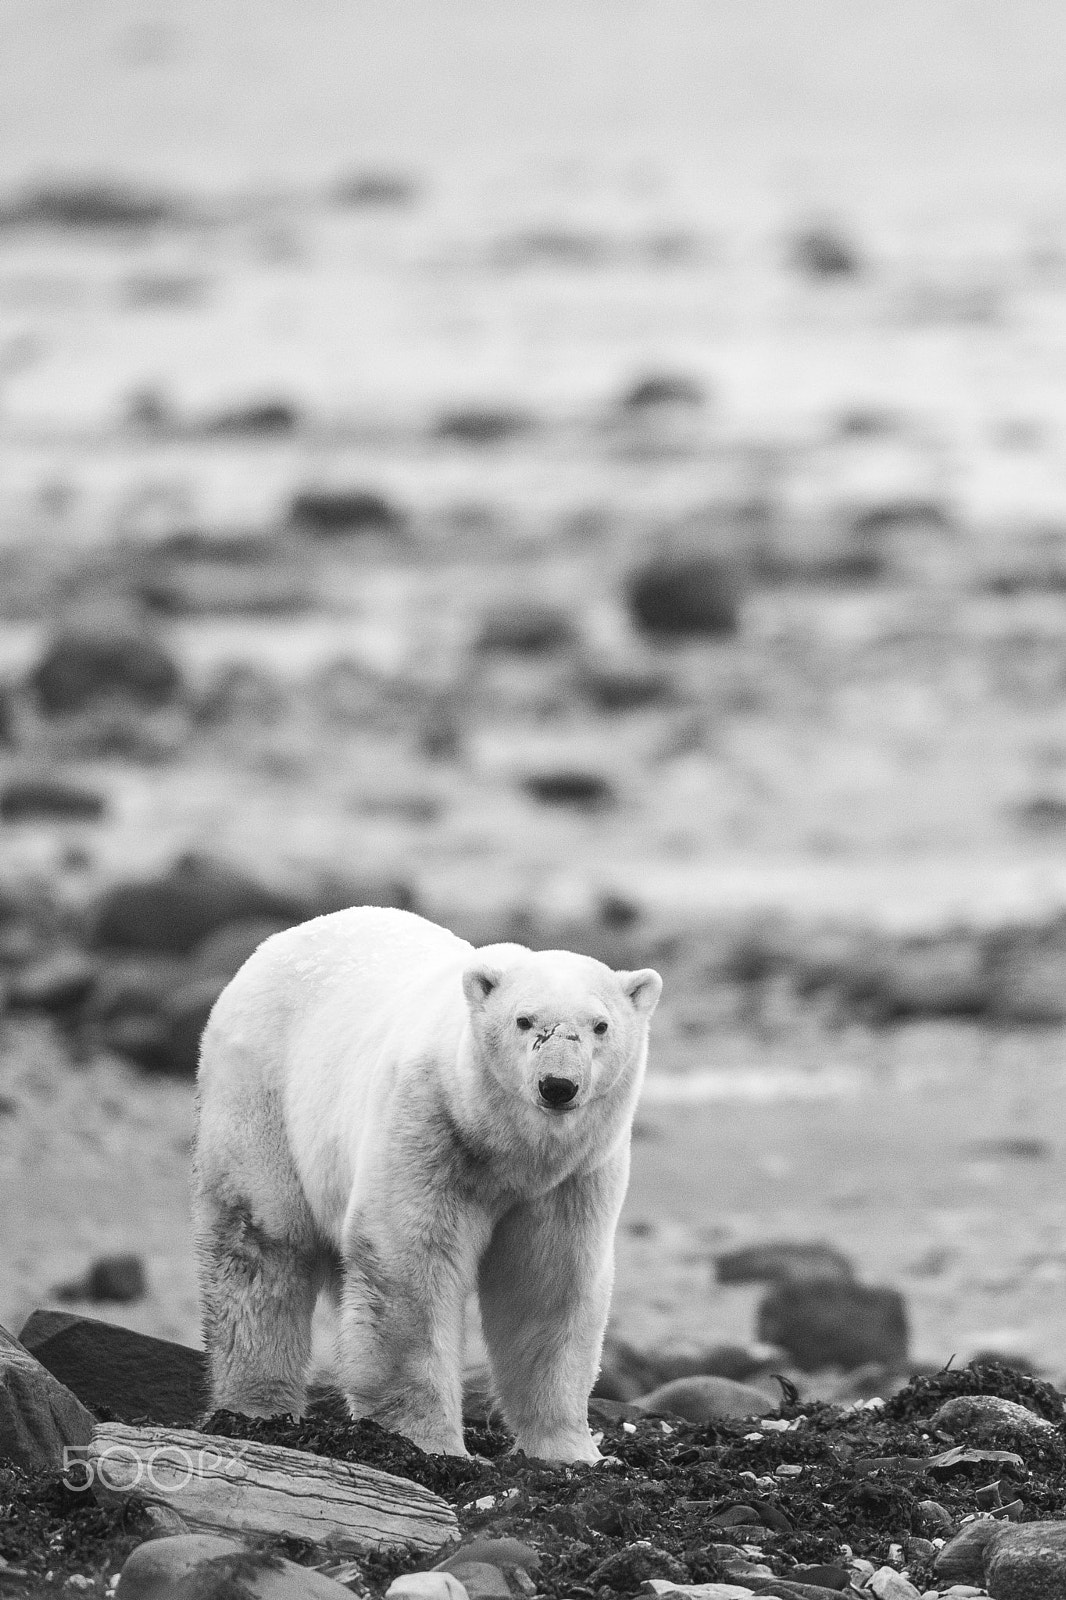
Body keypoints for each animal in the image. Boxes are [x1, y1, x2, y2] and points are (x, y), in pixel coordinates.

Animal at [191, 908, 656, 1459]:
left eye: (600, 1026)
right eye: (523, 1020)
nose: (558, 1086)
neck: (506, 1148)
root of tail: (281, 940)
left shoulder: (572, 1176)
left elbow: (548, 1281)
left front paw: (570, 1452)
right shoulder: (428, 1125)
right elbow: (412, 1260)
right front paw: (427, 1442)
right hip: (262, 1093)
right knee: (262, 1245)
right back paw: (255, 1408)